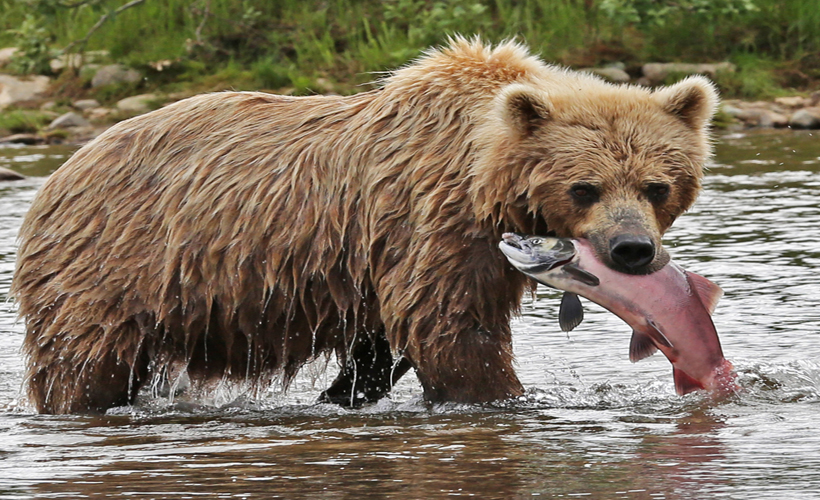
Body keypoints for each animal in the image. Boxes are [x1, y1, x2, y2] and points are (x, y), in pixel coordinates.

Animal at [12, 38, 716, 414]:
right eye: (584, 187)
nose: (632, 249)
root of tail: (59, 174)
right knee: (82, 363)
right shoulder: (433, 220)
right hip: (113, 265)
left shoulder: (424, 254)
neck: (485, 177)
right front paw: (499, 395)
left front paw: (345, 392)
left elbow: (385, 343)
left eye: (657, 185)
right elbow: (452, 328)